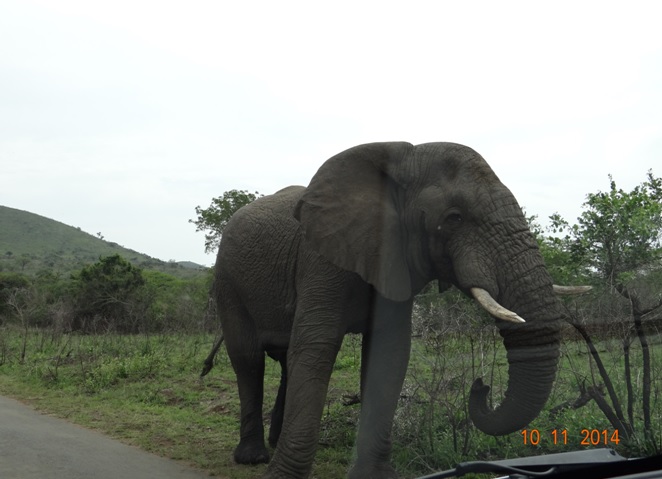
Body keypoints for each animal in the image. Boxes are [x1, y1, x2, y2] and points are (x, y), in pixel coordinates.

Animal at [215, 143, 572, 479]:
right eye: (453, 218)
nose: (481, 386)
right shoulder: (321, 259)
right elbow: (316, 347)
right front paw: (282, 476)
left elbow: (390, 353)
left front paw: (377, 475)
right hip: (227, 280)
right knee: (247, 357)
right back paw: (253, 457)